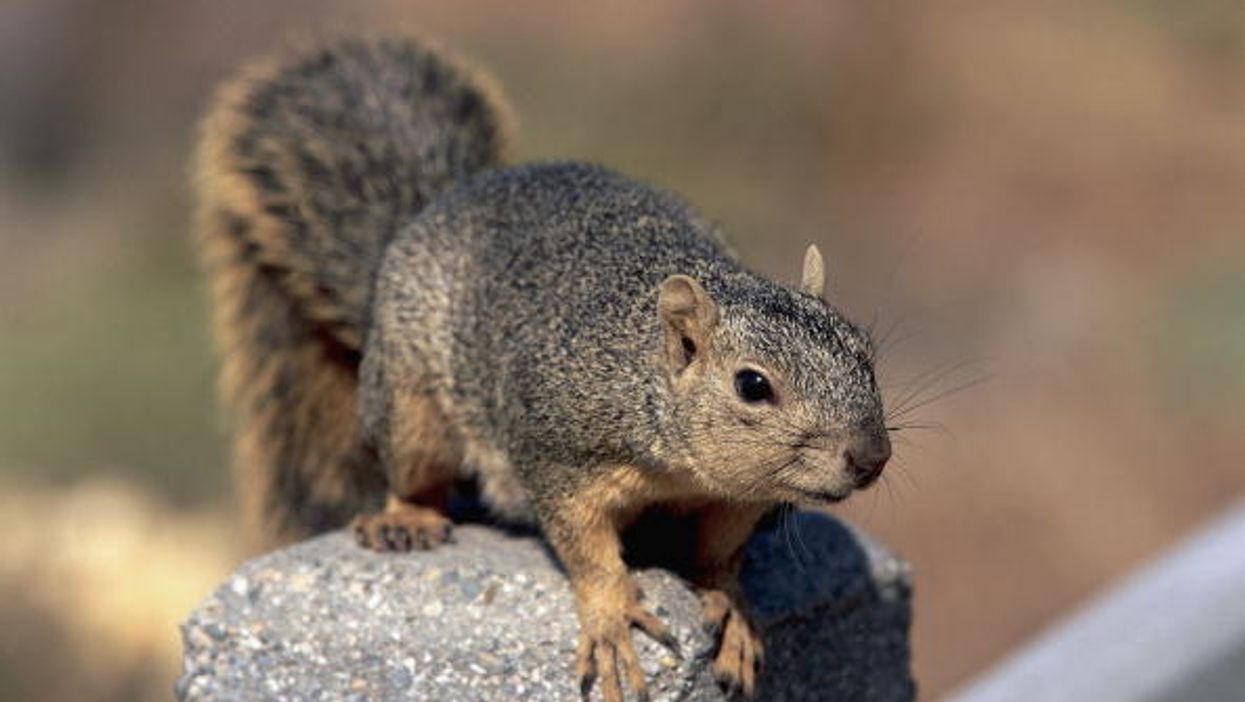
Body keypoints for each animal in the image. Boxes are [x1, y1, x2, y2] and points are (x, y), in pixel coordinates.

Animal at [194, 34, 891, 701]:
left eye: (865, 350)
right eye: (752, 385)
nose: (871, 457)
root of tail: (424, 218)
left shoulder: (739, 498)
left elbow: (720, 554)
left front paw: (733, 611)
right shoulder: (556, 453)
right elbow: (584, 546)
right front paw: (612, 617)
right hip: (411, 408)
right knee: (414, 472)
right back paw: (406, 521)